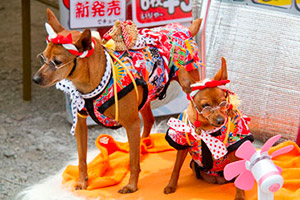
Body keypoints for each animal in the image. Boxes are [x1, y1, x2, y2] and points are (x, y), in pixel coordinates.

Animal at [32, 9, 202, 194]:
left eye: (57, 62)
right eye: (42, 58)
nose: (35, 79)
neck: (94, 80)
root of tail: (184, 30)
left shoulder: (131, 123)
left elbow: (133, 162)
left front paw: (131, 185)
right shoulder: (81, 125)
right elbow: (82, 158)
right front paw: (83, 181)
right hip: (145, 96)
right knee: (149, 121)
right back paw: (143, 146)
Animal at [164, 57, 253, 199]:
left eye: (223, 103)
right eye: (206, 106)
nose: (220, 120)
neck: (205, 128)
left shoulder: (234, 147)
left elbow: (238, 175)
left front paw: (240, 195)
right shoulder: (182, 146)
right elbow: (176, 168)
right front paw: (171, 185)